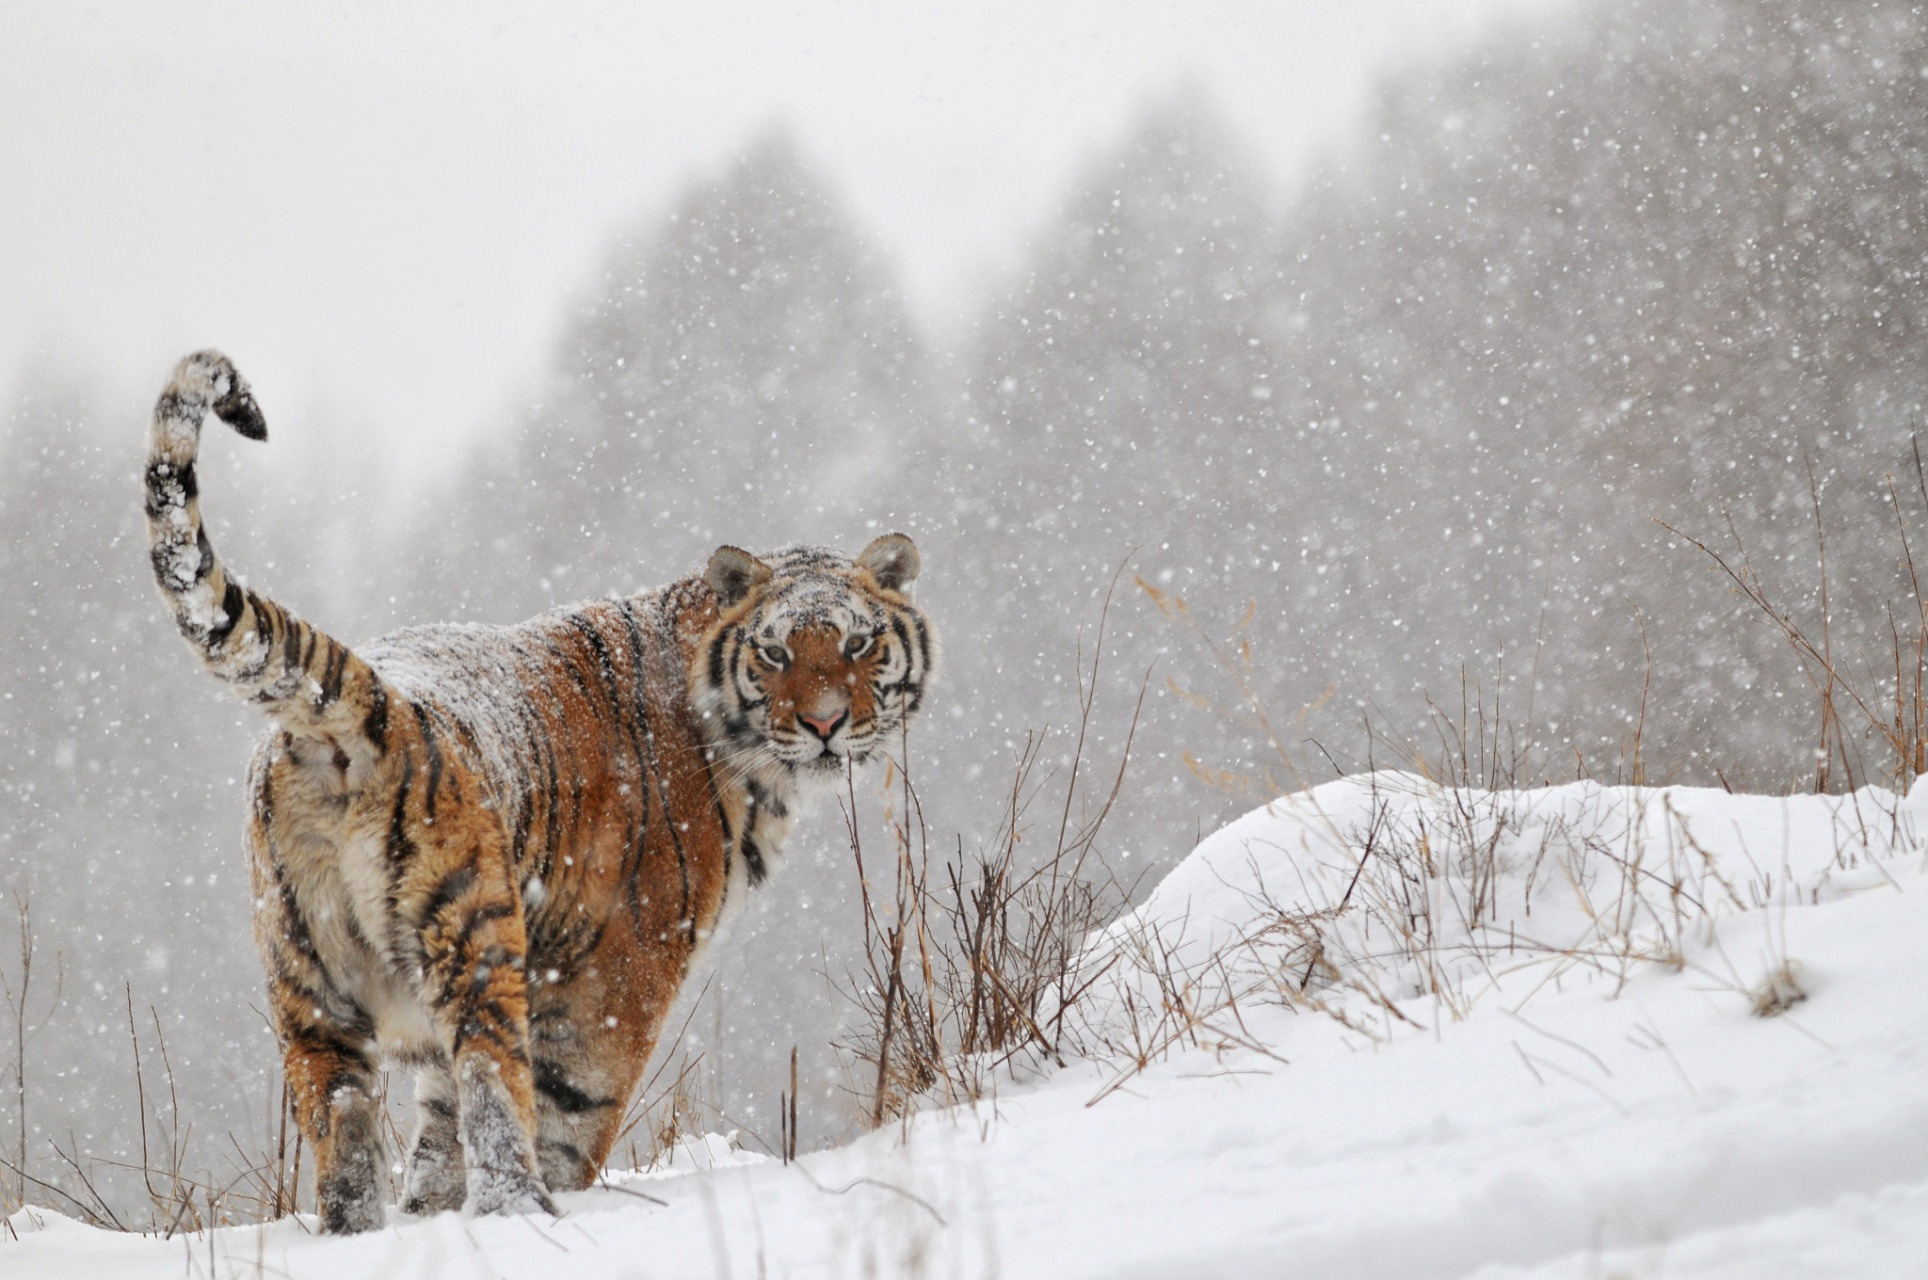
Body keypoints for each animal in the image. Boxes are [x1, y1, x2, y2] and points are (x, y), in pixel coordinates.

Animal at [139, 350, 937, 1233]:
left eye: (858, 645)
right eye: (774, 652)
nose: (826, 722)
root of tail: (374, 706)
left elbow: (436, 1138)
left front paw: (428, 1215)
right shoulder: (620, 973)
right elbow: (569, 1111)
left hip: (306, 977)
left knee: (343, 1121)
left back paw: (357, 1232)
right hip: (477, 937)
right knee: (495, 1090)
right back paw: (524, 1211)